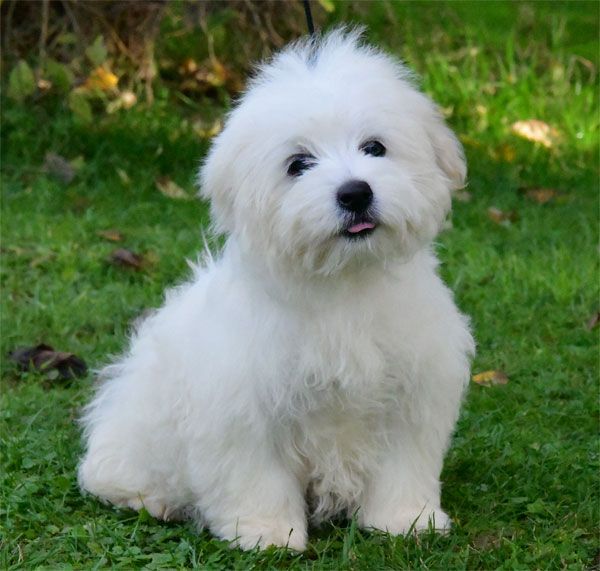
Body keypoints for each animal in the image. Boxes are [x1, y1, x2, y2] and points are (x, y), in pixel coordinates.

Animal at [78, 29, 474, 552]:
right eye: (298, 164)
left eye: (375, 147)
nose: (355, 192)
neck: (343, 281)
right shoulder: (242, 404)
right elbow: (256, 475)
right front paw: (268, 533)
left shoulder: (411, 390)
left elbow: (402, 466)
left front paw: (406, 519)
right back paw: (153, 500)